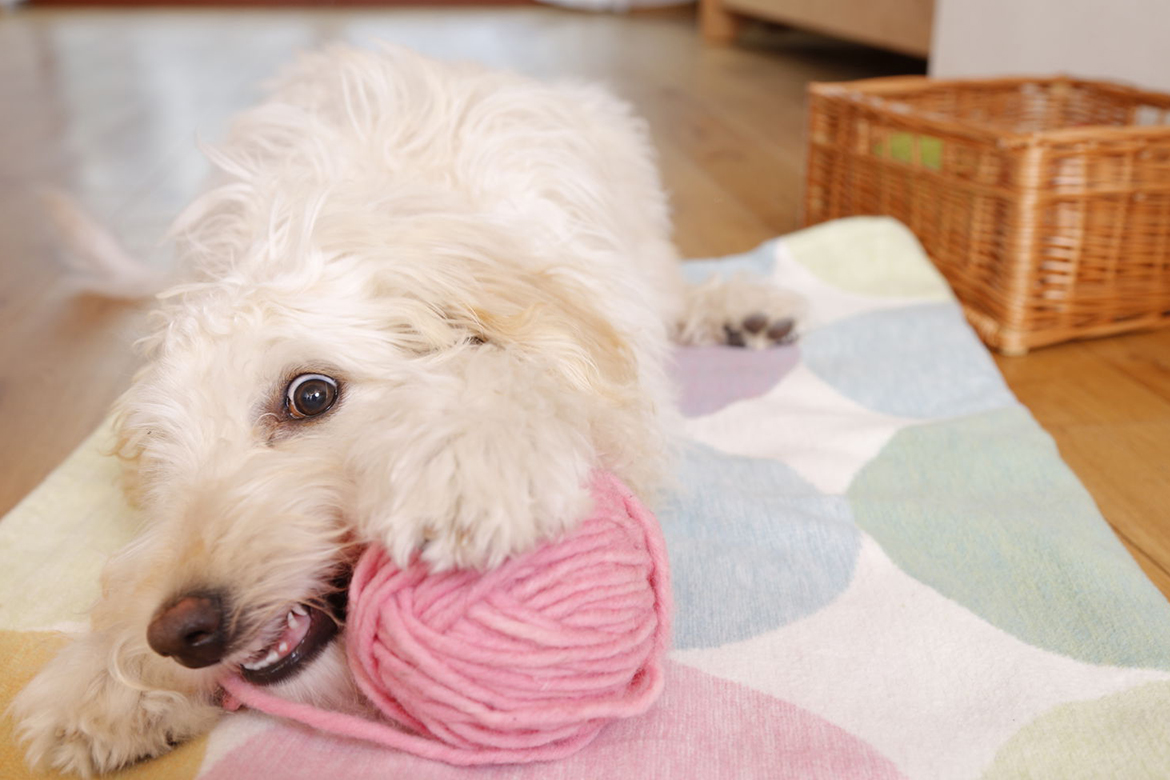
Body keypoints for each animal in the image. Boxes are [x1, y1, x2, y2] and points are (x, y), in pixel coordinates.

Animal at [13, 45, 804, 776]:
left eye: (311, 395)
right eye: (162, 455)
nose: (180, 631)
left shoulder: (599, 357)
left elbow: (530, 382)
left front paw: (470, 462)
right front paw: (107, 678)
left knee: (671, 286)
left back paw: (737, 306)